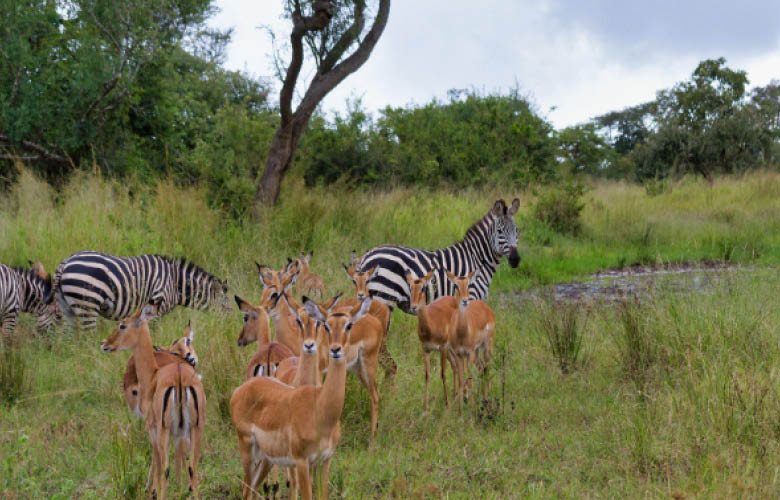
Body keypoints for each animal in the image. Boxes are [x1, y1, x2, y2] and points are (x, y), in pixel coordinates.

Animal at [50, 251, 230, 330]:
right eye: (225, 307)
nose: (230, 328)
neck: (174, 283)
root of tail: (64, 263)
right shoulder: (157, 307)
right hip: (87, 305)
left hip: (67, 308)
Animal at [358, 198, 520, 313]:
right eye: (499, 231)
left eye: (517, 230)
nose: (515, 259)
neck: (477, 259)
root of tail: (367, 256)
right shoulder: (469, 297)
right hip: (383, 297)